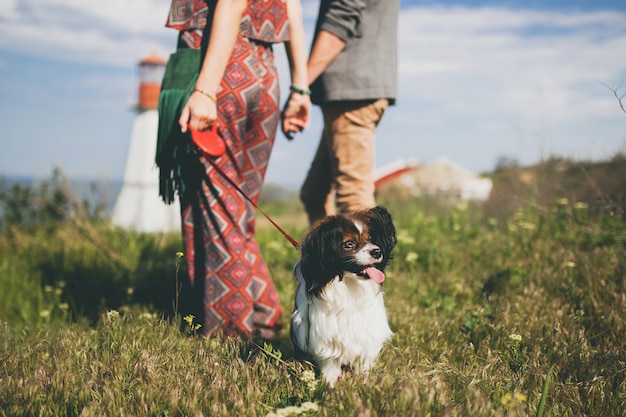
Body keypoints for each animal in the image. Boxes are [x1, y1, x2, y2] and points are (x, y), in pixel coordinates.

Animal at [290, 206, 398, 386]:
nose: (377, 251)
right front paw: (330, 384)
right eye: (350, 244)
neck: (349, 285)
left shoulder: (366, 334)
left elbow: (363, 364)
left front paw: (363, 382)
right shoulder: (326, 337)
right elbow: (330, 365)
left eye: (371, 239)